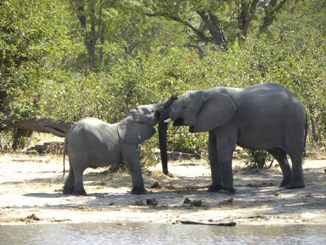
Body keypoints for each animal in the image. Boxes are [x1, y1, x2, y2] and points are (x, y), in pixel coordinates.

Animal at [159, 83, 306, 194]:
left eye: (184, 107)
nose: (170, 174)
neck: (205, 92)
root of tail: (302, 105)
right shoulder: (214, 121)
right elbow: (212, 152)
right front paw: (213, 189)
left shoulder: (229, 120)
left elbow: (224, 150)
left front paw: (227, 191)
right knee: (278, 154)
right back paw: (283, 184)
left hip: (294, 123)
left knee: (294, 152)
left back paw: (294, 186)